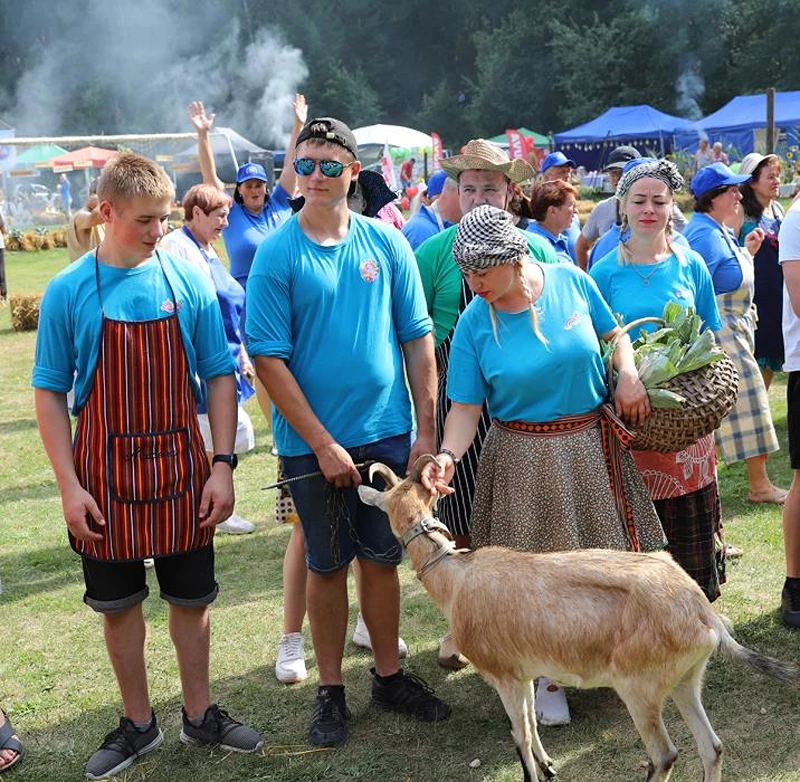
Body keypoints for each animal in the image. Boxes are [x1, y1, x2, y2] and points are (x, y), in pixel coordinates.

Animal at [360, 456, 796, 782]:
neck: (457, 581)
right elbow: (532, 725)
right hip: (686, 681)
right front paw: (549, 766)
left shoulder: (502, 674)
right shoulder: (523, 672)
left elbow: (519, 734)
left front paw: (536, 773)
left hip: (639, 687)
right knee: (713, 747)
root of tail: (706, 617)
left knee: (665, 755)